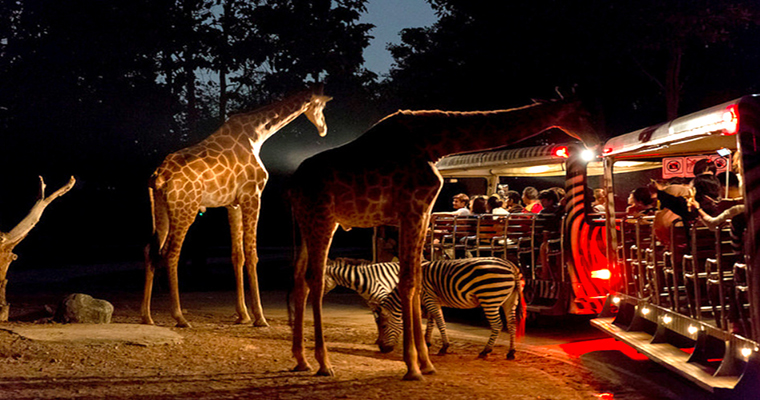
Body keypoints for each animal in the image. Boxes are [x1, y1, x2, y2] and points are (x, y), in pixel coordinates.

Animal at [143, 85, 332, 328]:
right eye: (321, 105)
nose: (323, 129)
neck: (257, 134)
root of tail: (159, 177)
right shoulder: (253, 195)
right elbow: (252, 254)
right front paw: (259, 317)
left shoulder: (232, 204)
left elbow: (237, 255)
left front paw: (243, 314)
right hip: (186, 209)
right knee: (170, 253)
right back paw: (179, 317)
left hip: (160, 208)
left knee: (151, 250)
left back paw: (146, 316)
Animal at [374, 258, 524, 360]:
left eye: (383, 326)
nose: (381, 348)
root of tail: (511, 266)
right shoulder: (431, 300)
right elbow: (431, 323)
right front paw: (426, 342)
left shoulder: (429, 297)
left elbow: (440, 321)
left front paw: (444, 347)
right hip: (510, 300)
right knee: (511, 324)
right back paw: (511, 352)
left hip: (490, 299)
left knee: (497, 324)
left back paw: (485, 351)